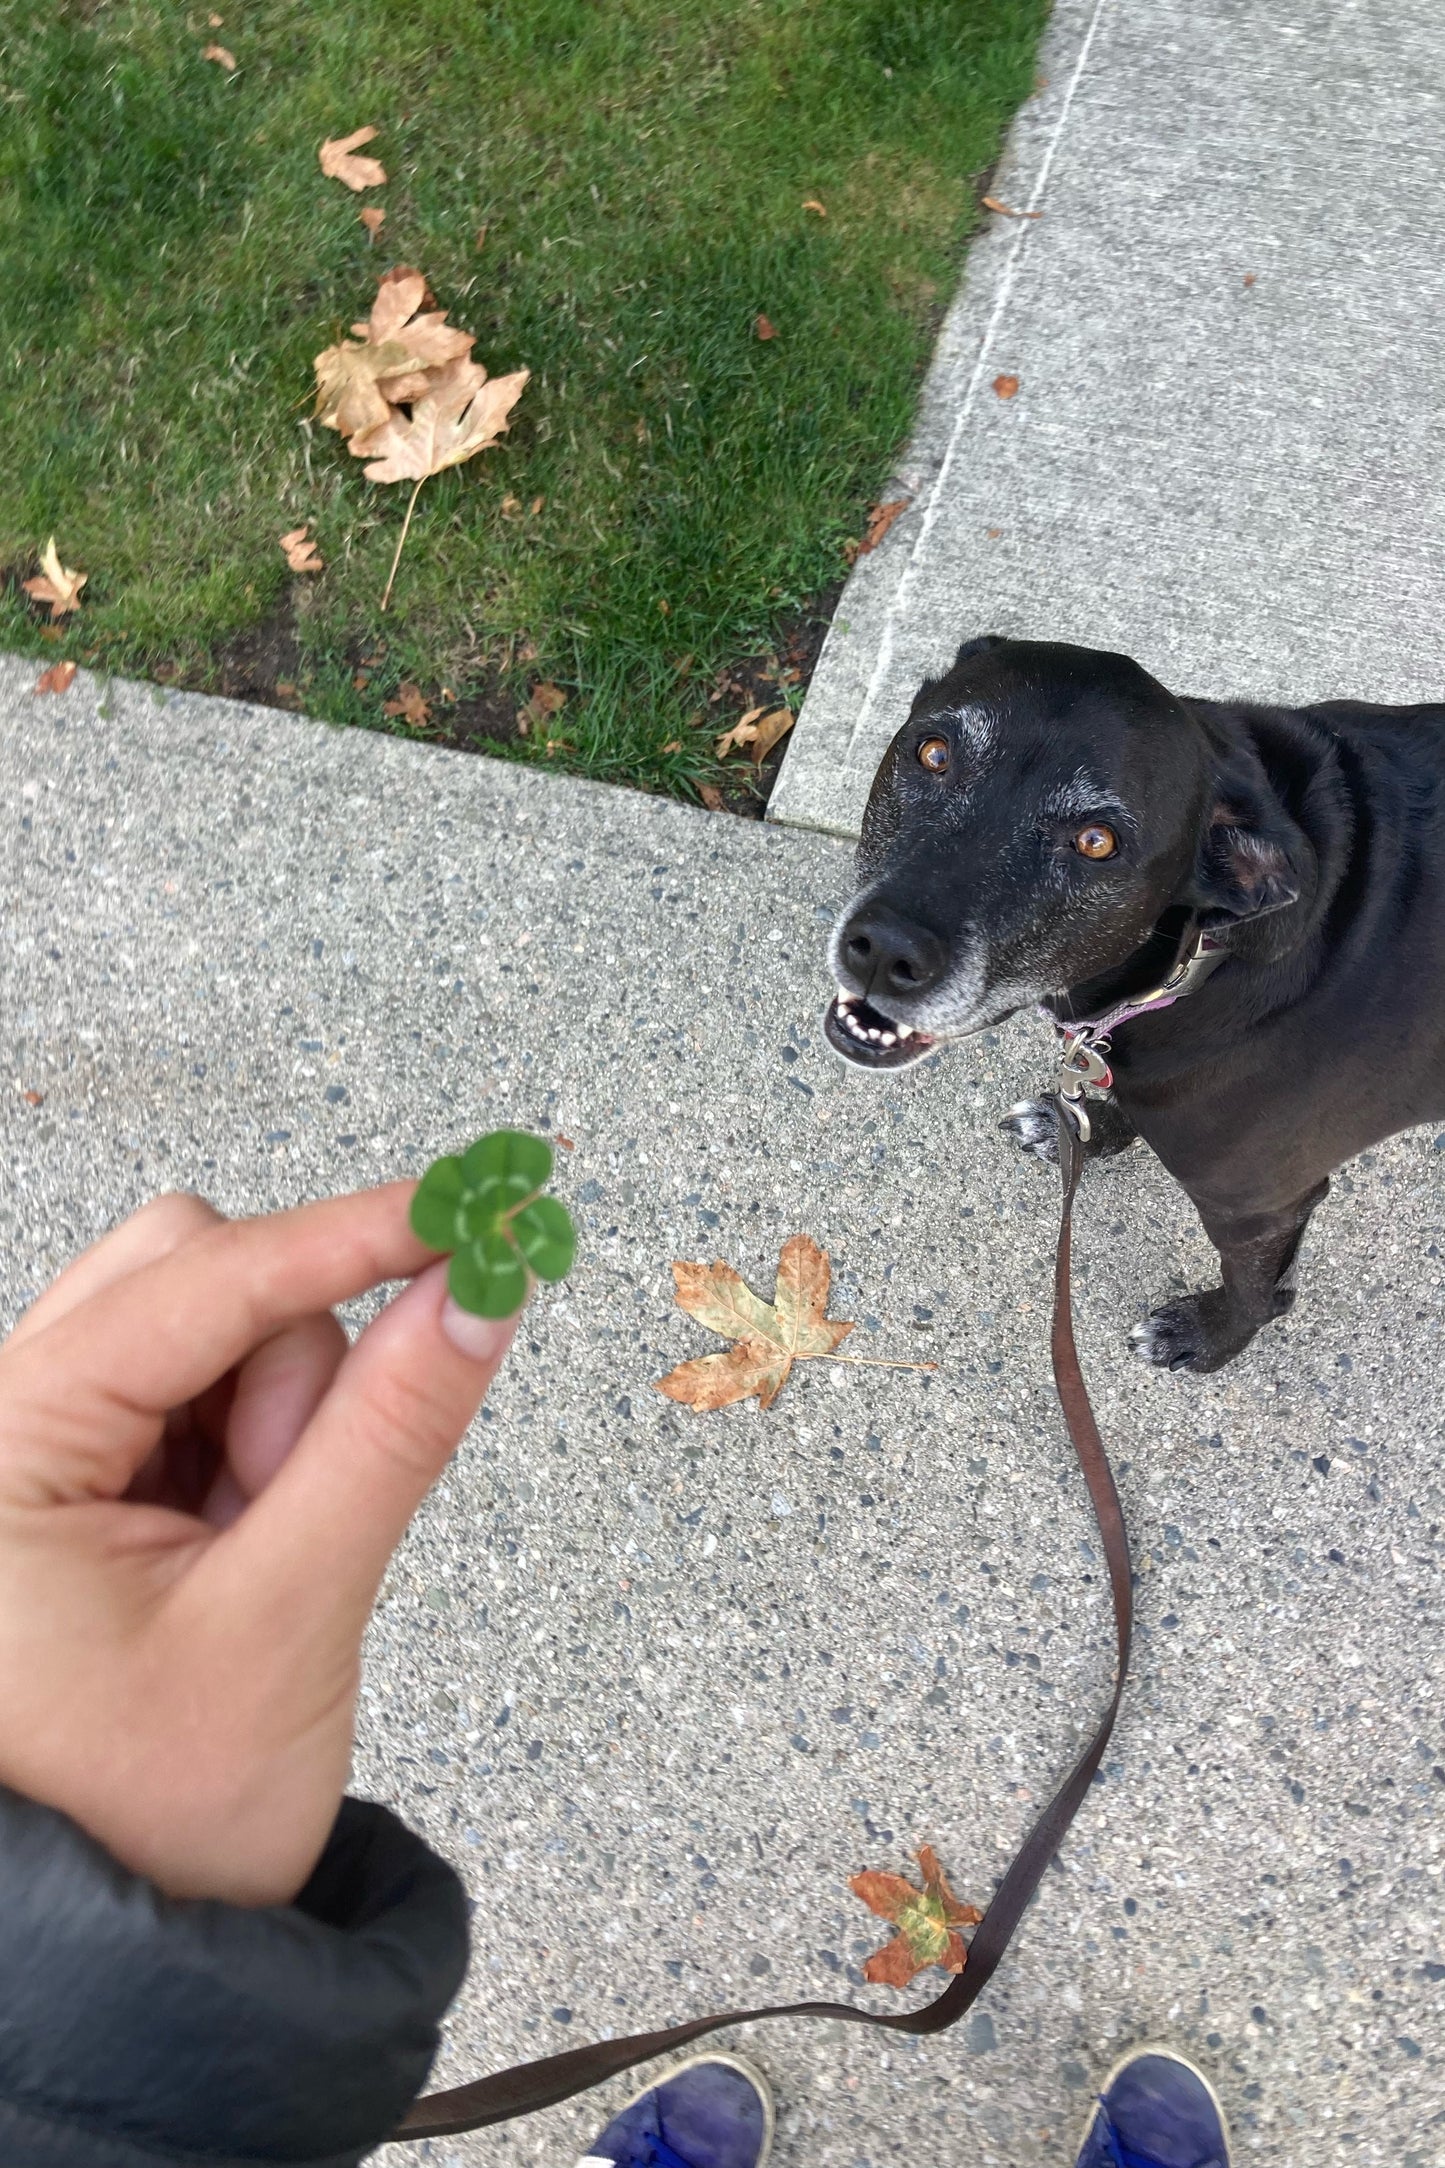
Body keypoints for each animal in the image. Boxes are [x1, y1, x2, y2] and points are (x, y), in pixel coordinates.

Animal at [823, 633, 1445, 1370]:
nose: (884, 950)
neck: (1203, 961)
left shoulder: (1260, 1204)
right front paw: (1077, 1128)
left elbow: (1260, 1292)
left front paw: (1208, 1339)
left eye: (1097, 842)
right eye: (934, 754)